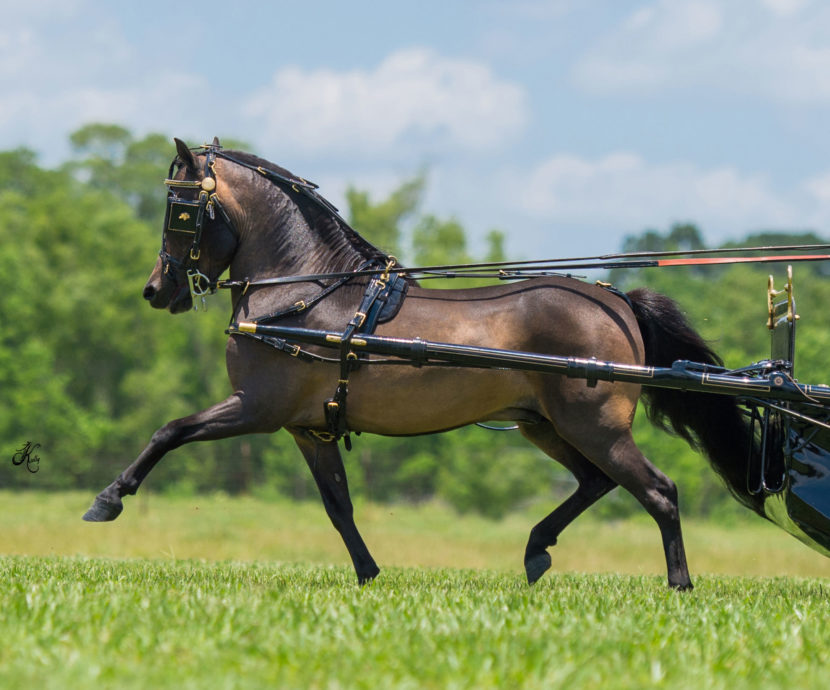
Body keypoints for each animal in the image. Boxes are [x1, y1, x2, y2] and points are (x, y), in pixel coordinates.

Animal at [83, 137, 762, 590]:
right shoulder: (309, 427)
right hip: (543, 425)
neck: (304, 291)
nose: (157, 290)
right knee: (597, 483)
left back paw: (678, 585)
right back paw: (536, 550)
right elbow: (338, 507)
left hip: (592, 424)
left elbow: (168, 431)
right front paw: (368, 574)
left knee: (658, 491)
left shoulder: (258, 408)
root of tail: (617, 301)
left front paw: (109, 499)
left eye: (180, 209)